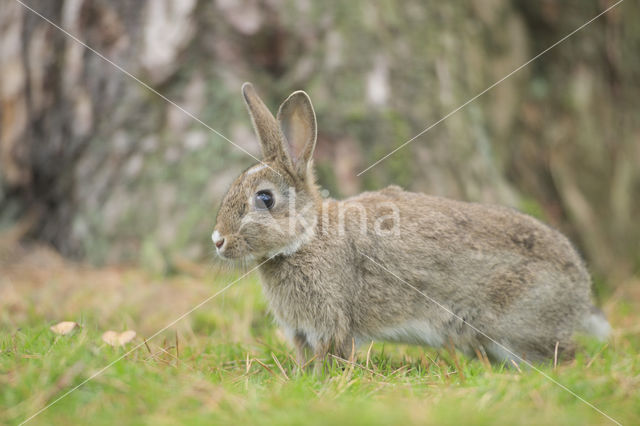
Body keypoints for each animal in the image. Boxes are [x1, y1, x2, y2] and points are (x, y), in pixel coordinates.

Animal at [211, 82, 608, 366]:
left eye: (265, 199)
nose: (217, 240)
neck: (307, 237)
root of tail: (581, 291)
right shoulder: (301, 332)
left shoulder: (330, 323)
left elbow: (330, 355)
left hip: (515, 329)